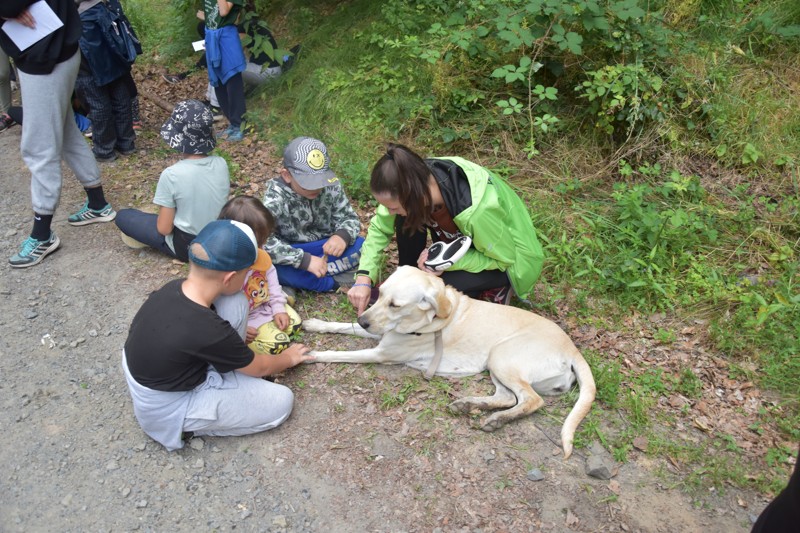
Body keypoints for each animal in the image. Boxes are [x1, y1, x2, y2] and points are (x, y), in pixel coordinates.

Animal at [304, 266, 592, 458]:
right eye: (381, 293)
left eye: (395, 304)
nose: (364, 319)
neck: (428, 320)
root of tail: (573, 350)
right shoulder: (379, 334)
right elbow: (343, 326)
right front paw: (315, 324)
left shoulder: (381, 353)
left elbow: (339, 353)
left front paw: (311, 355)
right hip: (495, 364)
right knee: (508, 397)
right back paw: (470, 406)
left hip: (502, 355)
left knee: (531, 399)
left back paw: (497, 419)